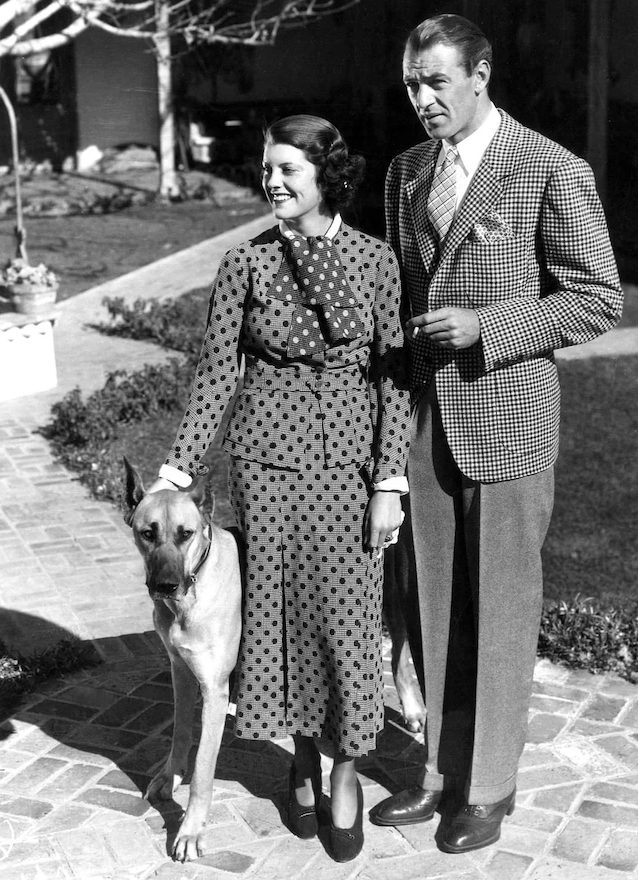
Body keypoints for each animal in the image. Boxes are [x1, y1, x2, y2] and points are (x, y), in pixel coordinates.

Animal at [123, 464, 242, 864]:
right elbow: (181, 731)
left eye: (185, 534)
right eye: (147, 533)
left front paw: (190, 831)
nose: (165, 586)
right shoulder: (181, 671)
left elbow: (203, 772)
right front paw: (170, 775)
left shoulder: (215, 691)